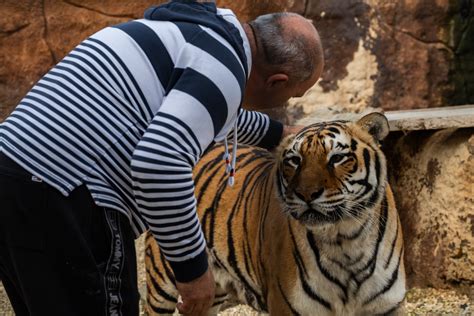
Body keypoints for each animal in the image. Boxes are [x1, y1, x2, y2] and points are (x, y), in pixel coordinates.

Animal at [145, 112, 408, 314]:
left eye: (337, 158)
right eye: (295, 160)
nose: (306, 194)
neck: (345, 239)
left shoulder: (386, 306)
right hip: (163, 281)